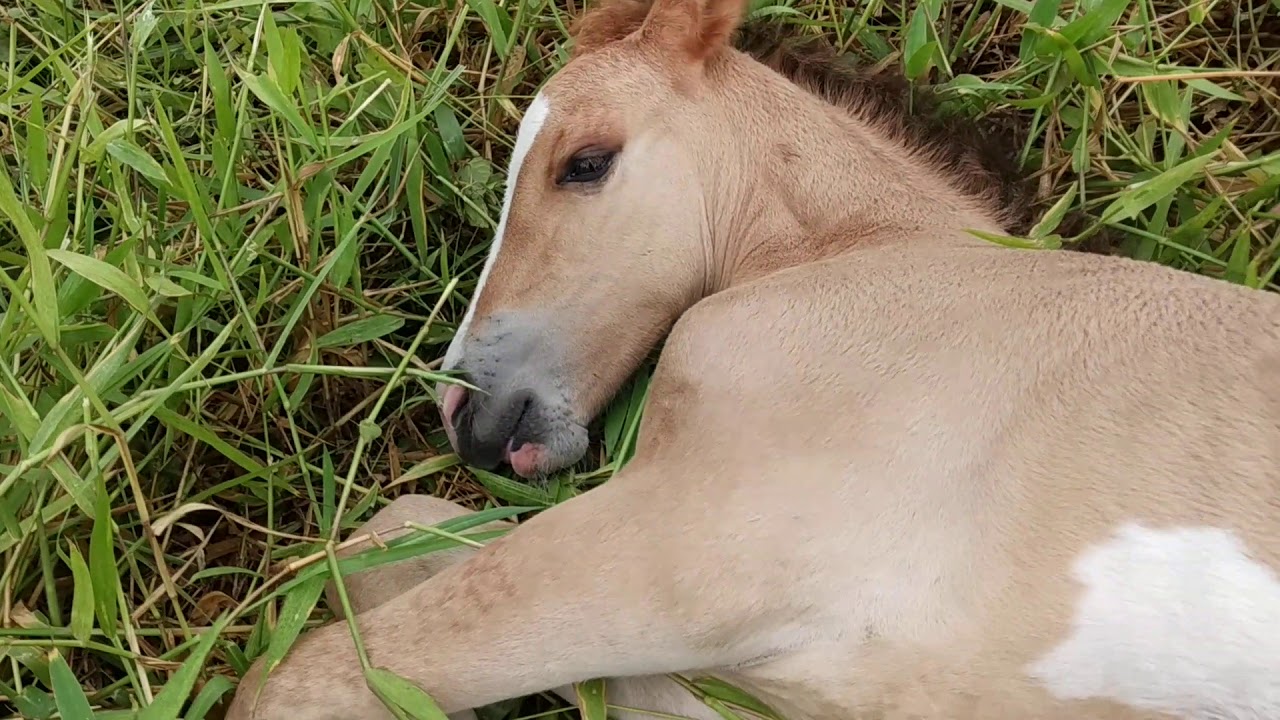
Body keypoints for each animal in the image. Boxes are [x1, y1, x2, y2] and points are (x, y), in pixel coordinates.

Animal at [225, 0, 1280, 718]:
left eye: (586, 162)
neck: (877, 263)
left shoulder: (689, 549)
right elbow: (391, 543)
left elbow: (312, 670)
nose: (468, 415)